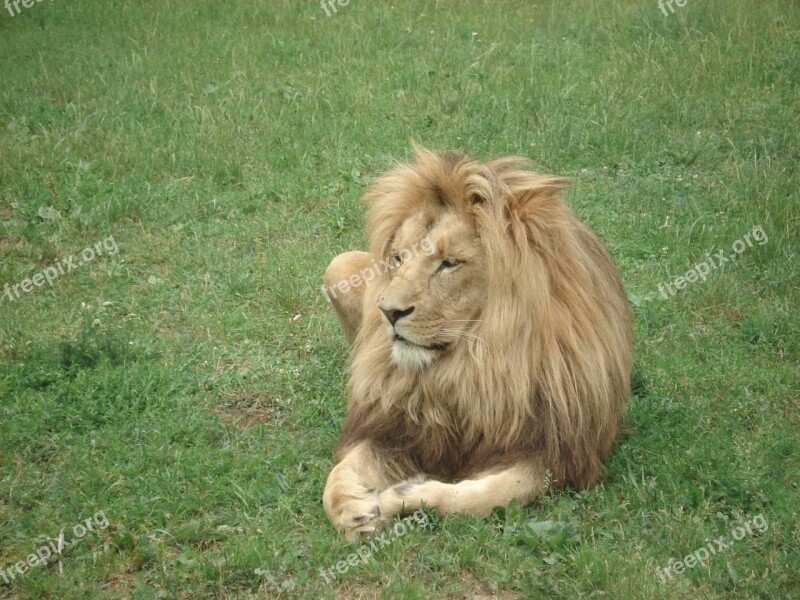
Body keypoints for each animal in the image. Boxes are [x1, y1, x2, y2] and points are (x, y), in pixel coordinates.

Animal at [320, 146, 632, 540]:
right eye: (398, 258)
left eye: (449, 263)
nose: (388, 312)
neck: (474, 363)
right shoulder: (395, 428)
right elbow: (341, 472)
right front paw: (352, 509)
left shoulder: (552, 451)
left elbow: (490, 494)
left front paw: (404, 495)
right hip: (337, 267)